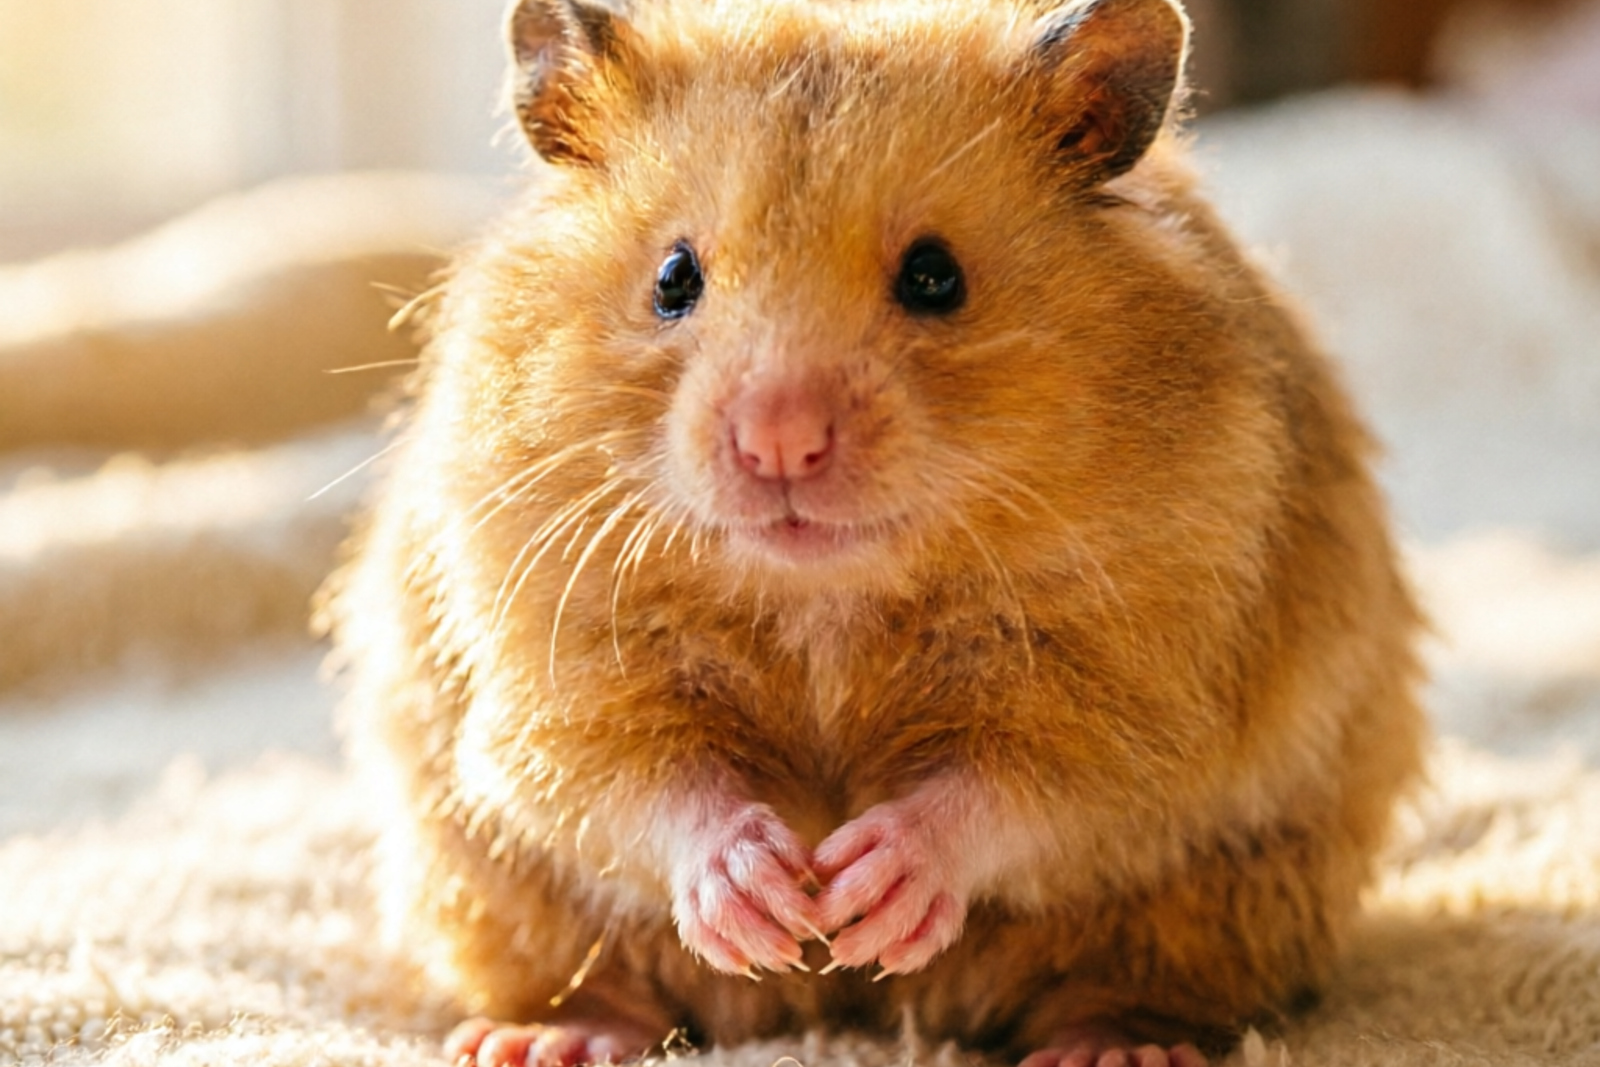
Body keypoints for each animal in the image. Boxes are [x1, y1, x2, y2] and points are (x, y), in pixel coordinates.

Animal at [324, 1, 1426, 1065]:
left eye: (936, 278)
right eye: (674, 278)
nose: (779, 439)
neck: (827, 597)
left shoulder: (1138, 695)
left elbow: (1018, 789)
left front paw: (865, 889)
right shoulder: (557, 669)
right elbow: (639, 782)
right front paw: (770, 896)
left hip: (1228, 894)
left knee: (1120, 980)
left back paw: (1109, 1046)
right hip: (490, 888)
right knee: (611, 980)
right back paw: (546, 1037)